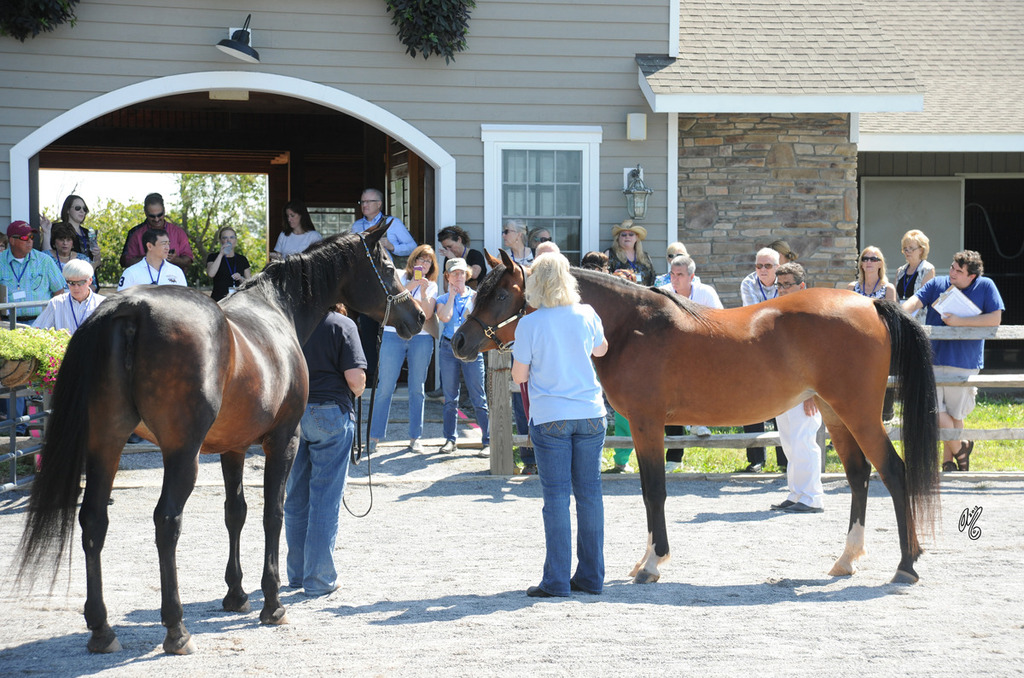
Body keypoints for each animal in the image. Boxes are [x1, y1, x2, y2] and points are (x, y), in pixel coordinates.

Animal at [17, 221, 423, 655]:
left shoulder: (233, 447)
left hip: (105, 445)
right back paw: (176, 629)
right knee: (166, 522)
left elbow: (235, 512)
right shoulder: (284, 441)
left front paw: (236, 595)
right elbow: (273, 514)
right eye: (386, 265)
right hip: (182, 454)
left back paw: (102, 630)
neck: (277, 310)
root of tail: (128, 308)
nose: (417, 316)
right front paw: (272, 604)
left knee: (93, 520)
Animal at [453, 249, 940, 585]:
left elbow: (653, 491)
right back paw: (847, 560)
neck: (630, 326)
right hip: (837, 416)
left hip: (860, 414)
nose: (458, 341)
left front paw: (652, 563)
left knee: (894, 472)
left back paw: (906, 566)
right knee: (859, 477)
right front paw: (645, 558)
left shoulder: (648, 424)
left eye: (500, 293)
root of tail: (868, 304)